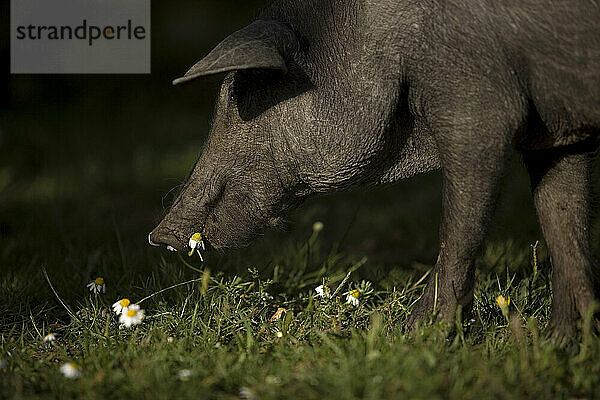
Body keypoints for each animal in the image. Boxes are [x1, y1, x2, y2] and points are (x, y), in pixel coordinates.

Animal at [146, 0, 600, 338]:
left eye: (243, 90)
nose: (159, 235)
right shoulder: (556, 134)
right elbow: (563, 220)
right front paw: (560, 344)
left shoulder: (477, 111)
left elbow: (459, 228)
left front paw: (413, 336)